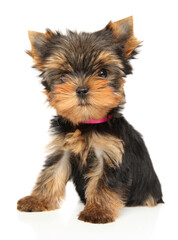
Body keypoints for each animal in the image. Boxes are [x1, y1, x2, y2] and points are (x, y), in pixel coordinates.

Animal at [17, 16, 163, 223]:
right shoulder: (63, 149)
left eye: (102, 73)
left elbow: (103, 182)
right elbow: (51, 173)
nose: (82, 89)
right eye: (63, 76)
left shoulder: (110, 154)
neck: (87, 123)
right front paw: (37, 200)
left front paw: (97, 211)